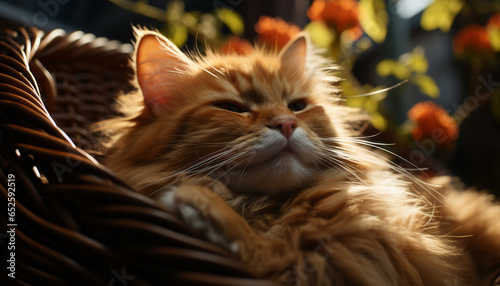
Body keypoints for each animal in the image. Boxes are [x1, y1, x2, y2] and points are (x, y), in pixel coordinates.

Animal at [102, 28, 500, 286]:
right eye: (232, 108)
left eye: (297, 106)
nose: (287, 123)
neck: (276, 210)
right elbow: (270, 251)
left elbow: (268, 251)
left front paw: (202, 204)